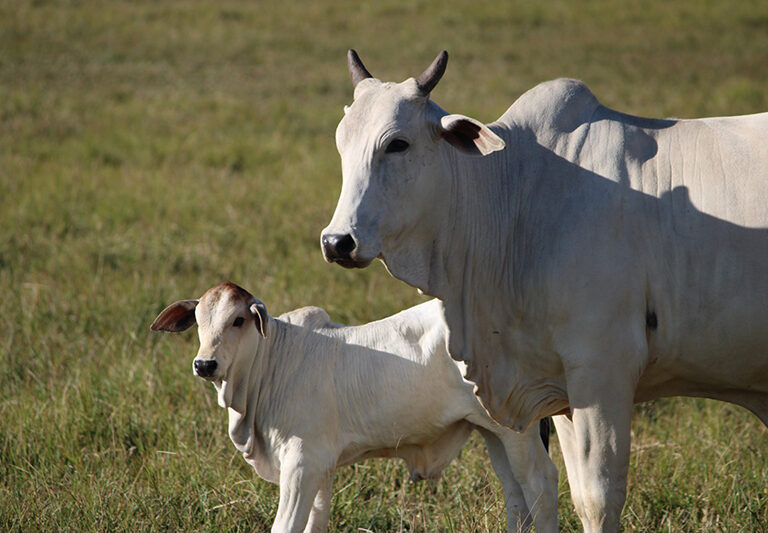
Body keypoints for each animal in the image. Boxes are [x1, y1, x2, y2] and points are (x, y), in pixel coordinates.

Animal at [150, 280, 560, 528]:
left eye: (237, 320)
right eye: (199, 320)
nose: (205, 364)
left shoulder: (303, 462)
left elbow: (286, 525)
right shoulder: (321, 467)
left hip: (519, 432)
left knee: (540, 485)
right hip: (495, 431)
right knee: (516, 495)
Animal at [320, 48, 768, 528]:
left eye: (397, 143)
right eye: (341, 143)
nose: (337, 241)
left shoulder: (603, 368)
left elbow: (599, 497)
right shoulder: (562, 386)